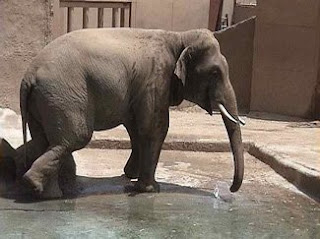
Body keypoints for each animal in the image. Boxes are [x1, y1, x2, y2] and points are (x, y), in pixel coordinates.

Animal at [1, 28, 245, 199]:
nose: (231, 190)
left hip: (43, 100)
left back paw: (46, 193)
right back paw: (37, 187)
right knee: (74, 138)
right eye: (215, 73)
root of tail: (27, 77)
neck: (179, 36)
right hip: (62, 95)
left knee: (45, 140)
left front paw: (130, 175)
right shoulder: (156, 78)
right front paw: (150, 189)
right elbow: (154, 128)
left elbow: (136, 128)